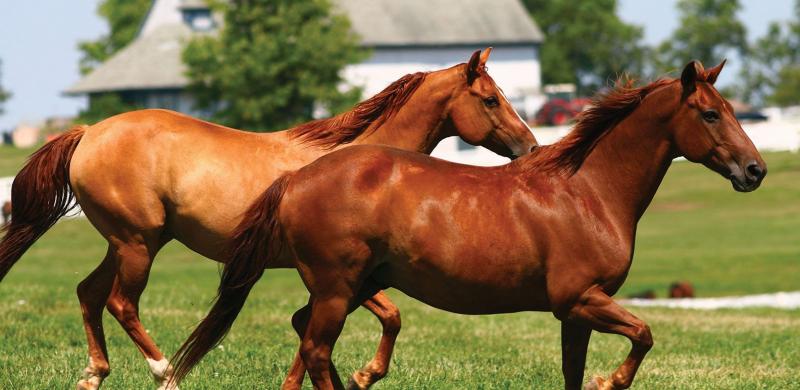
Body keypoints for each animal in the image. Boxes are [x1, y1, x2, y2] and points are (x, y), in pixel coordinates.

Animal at [0, 49, 536, 390]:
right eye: (490, 99)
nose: (531, 148)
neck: (363, 166)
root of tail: (90, 132)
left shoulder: (335, 279)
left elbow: (336, 328)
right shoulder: (337, 275)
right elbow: (377, 319)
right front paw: (362, 375)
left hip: (128, 242)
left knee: (89, 293)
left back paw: (93, 375)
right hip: (138, 244)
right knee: (120, 303)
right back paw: (165, 374)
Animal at [172, 61, 764, 390]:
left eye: (733, 108)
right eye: (711, 114)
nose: (754, 170)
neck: (586, 192)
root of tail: (296, 178)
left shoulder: (575, 313)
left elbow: (575, 372)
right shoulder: (580, 299)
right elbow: (642, 335)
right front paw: (610, 381)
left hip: (354, 285)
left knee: (305, 334)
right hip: (339, 288)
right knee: (316, 349)